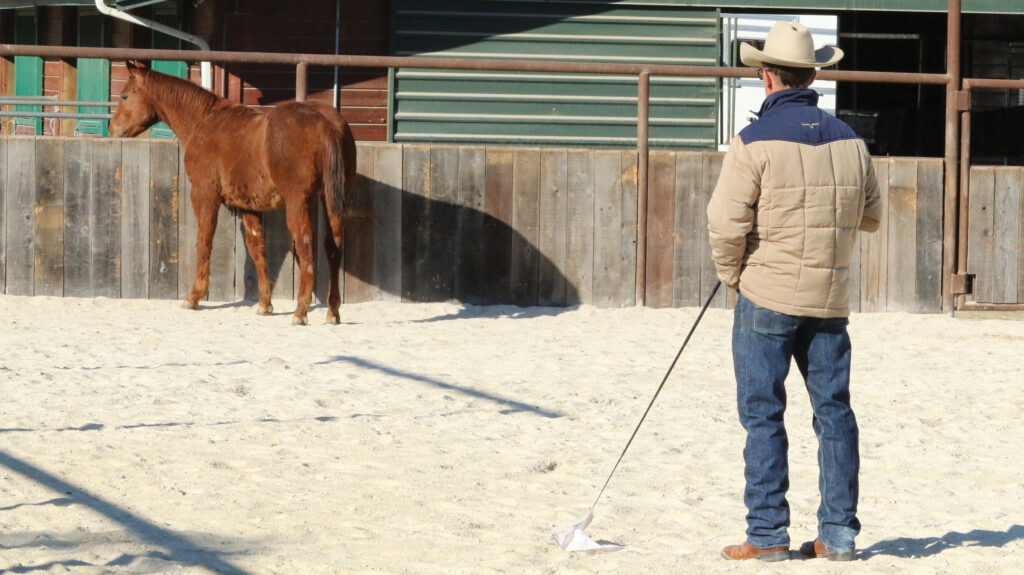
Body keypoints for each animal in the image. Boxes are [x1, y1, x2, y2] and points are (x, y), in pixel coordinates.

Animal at [109, 60, 356, 325]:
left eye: (124, 96)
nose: (112, 130)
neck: (204, 121)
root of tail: (324, 121)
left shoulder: (204, 194)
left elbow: (204, 240)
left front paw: (194, 296)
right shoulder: (249, 204)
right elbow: (256, 247)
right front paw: (265, 304)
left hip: (298, 202)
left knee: (306, 244)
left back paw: (300, 311)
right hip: (330, 200)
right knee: (333, 246)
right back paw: (332, 311)